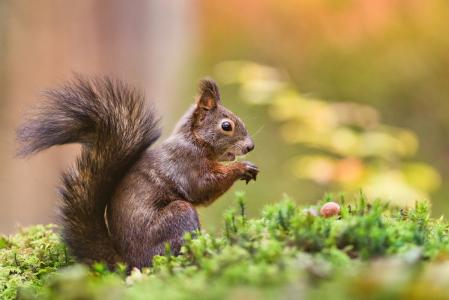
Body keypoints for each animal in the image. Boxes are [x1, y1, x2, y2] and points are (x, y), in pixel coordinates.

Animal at [15, 74, 260, 270]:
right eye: (226, 126)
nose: (250, 147)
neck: (194, 141)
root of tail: (128, 261)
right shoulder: (185, 164)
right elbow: (202, 189)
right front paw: (242, 168)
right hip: (178, 216)